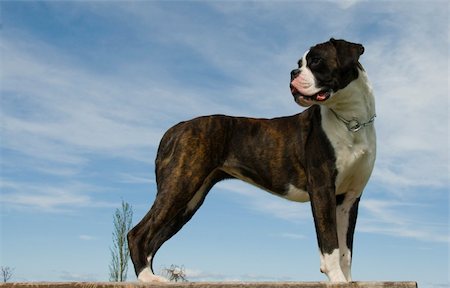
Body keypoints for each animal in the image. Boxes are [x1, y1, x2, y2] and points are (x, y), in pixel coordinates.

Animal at [127, 37, 376, 282]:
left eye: (315, 61)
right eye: (301, 63)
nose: (292, 72)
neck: (350, 120)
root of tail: (177, 128)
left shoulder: (348, 199)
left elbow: (345, 250)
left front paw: (347, 280)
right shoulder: (323, 190)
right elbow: (330, 243)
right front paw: (337, 279)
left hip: (189, 201)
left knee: (153, 239)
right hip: (179, 186)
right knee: (137, 233)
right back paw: (148, 278)